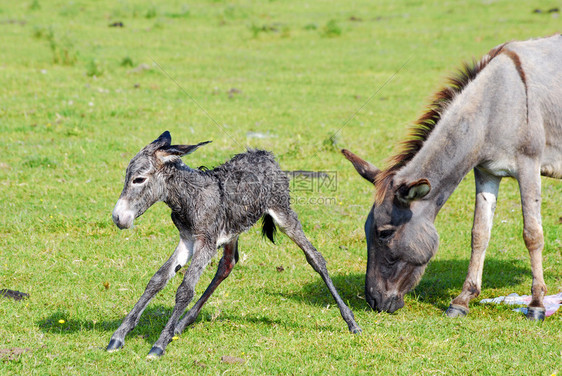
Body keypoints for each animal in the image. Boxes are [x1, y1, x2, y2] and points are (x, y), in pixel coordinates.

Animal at [107, 132, 358, 358]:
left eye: (139, 179)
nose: (118, 218)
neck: (189, 198)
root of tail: (265, 155)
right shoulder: (188, 240)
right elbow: (157, 280)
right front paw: (118, 336)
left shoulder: (205, 243)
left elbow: (185, 289)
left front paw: (159, 345)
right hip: (233, 230)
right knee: (227, 264)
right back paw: (182, 323)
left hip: (283, 213)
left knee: (315, 257)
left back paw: (351, 322)